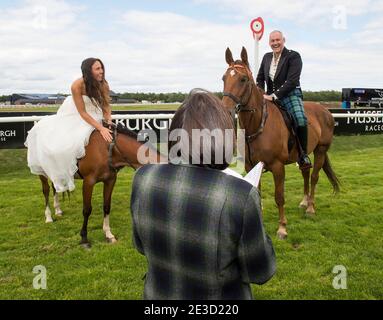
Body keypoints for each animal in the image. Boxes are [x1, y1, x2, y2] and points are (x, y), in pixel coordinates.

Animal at [224, 47, 340, 238]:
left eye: (243, 79)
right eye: (224, 78)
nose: (226, 110)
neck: (259, 124)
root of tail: (325, 110)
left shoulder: (278, 167)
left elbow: (279, 197)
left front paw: (282, 228)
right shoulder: (251, 166)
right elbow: (256, 193)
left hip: (321, 150)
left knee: (314, 176)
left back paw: (310, 208)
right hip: (303, 155)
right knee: (306, 172)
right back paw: (304, 201)